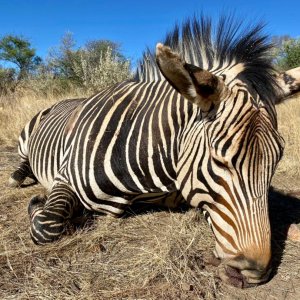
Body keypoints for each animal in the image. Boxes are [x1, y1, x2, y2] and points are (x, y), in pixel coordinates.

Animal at [9, 15, 300, 286]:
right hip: (27, 135)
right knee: (22, 162)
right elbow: (46, 225)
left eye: (276, 160)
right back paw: (17, 177)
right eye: (219, 160)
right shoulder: (64, 177)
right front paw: (39, 204)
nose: (255, 272)